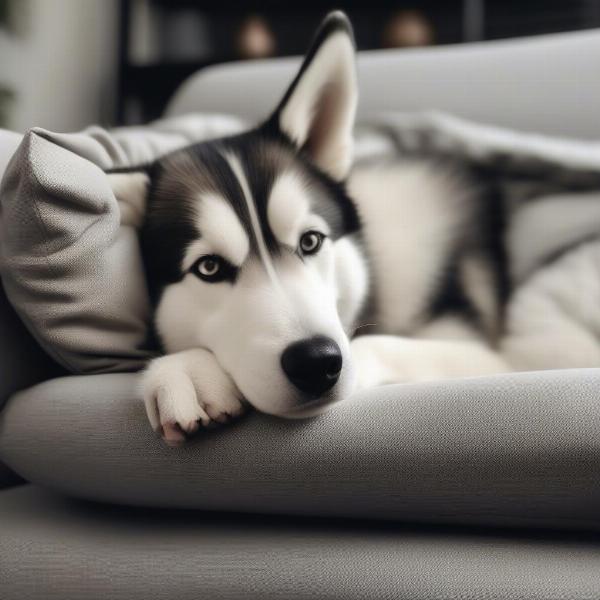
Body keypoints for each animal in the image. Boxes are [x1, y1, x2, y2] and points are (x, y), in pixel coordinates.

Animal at [110, 11, 600, 446]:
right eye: (209, 268)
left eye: (310, 241)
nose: (315, 362)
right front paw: (187, 368)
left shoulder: (489, 355)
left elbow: (371, 346)